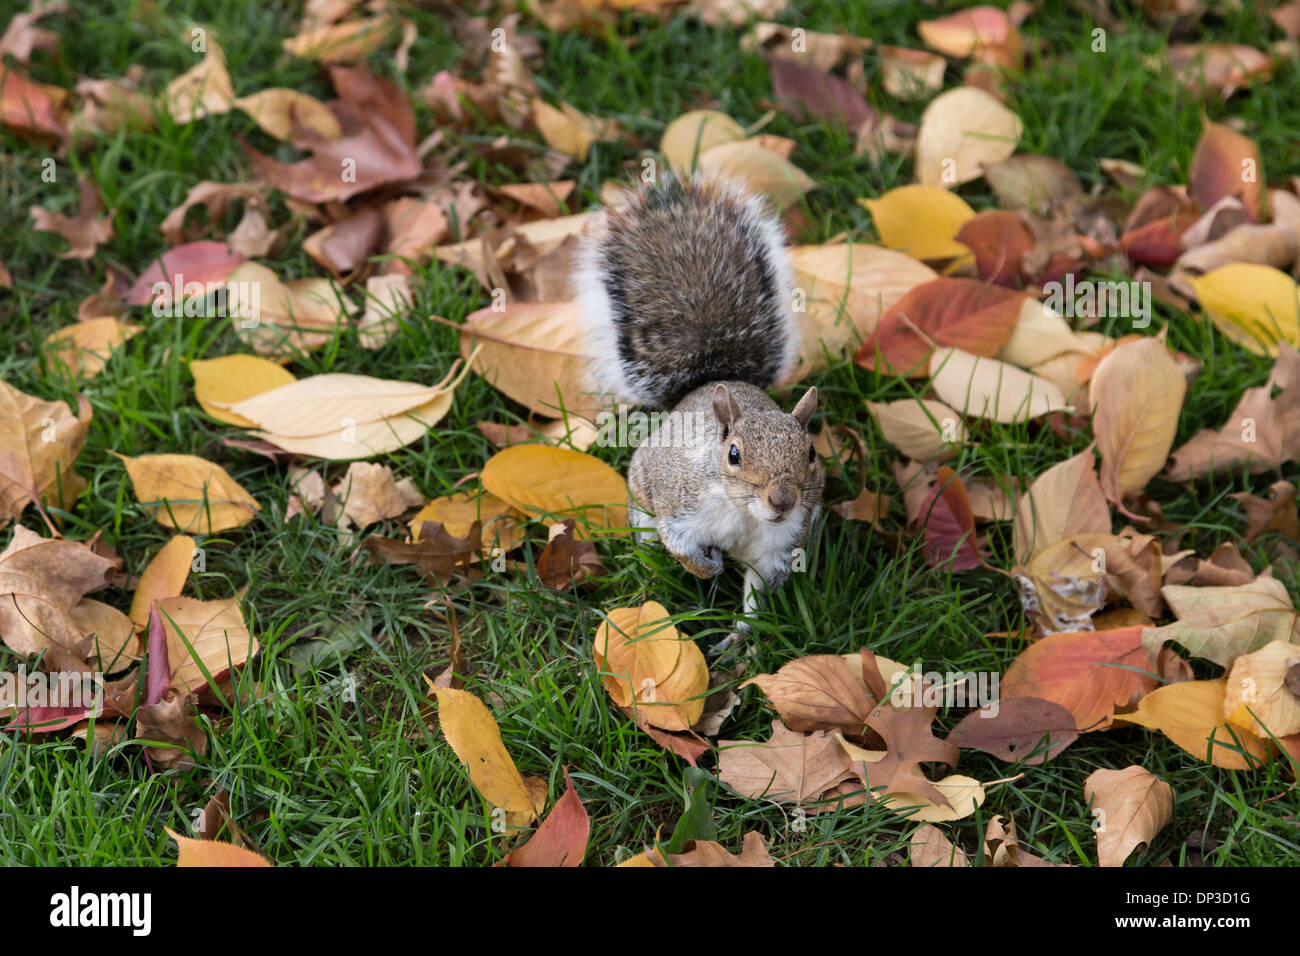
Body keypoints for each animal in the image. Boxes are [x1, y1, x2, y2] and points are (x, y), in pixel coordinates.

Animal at [577, 174, 821, 650]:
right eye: (734, 454)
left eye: (812, 453)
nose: (782, 500)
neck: (742, 512)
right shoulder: (680, 504)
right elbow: (680, 546)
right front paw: (709, 567)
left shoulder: (777, 549)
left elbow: (758, 596)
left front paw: (739, 643)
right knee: (650, 544)